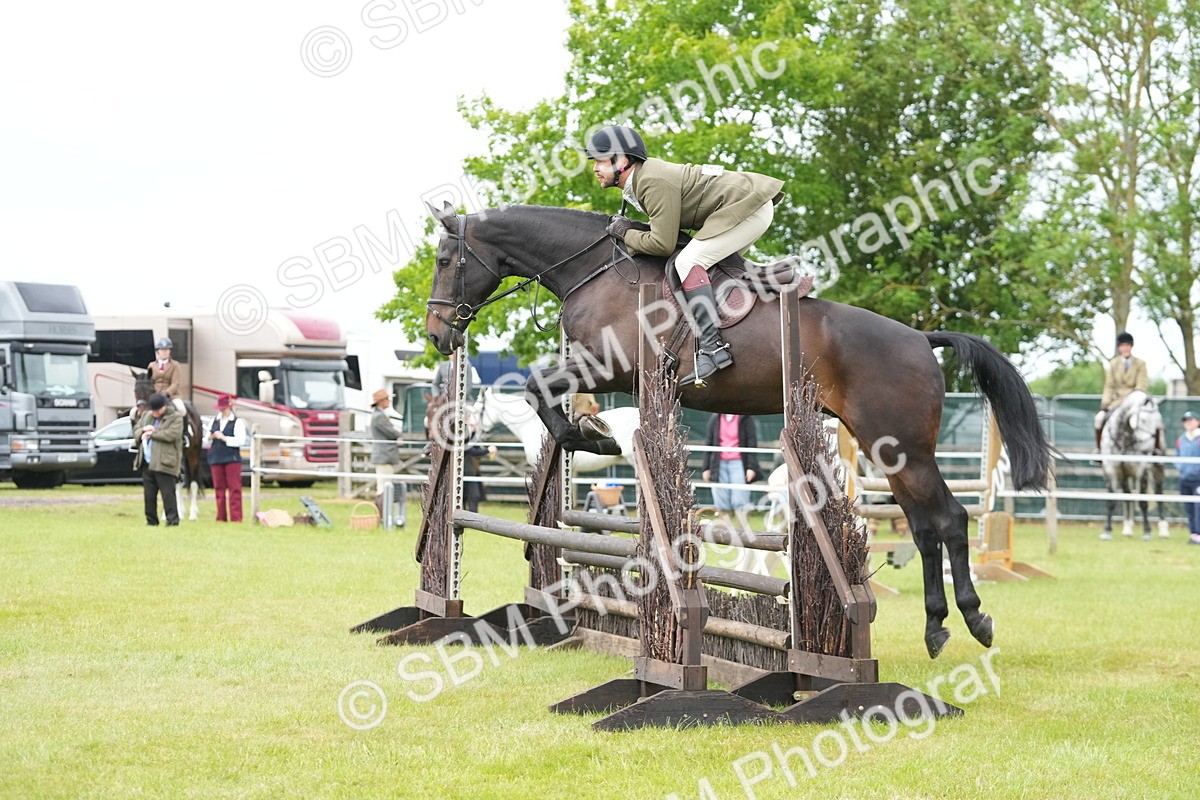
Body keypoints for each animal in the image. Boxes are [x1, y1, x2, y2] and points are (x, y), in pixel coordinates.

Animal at [1099, 390, 1169, 541]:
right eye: (1143, 420)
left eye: (1158, 420)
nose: (1149, 449)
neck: (1124, 436)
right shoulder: (1111, 470)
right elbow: (1111, 501)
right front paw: (1107, 531)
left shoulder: (1142, 470)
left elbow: (1143, 502)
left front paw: (1147, 532)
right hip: (1124, 475)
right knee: (1128, 495)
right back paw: (1127, 528)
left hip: (1158, 469)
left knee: (1159, 493)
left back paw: (1163, 530)